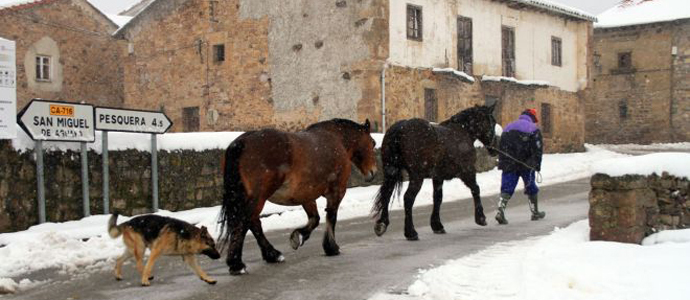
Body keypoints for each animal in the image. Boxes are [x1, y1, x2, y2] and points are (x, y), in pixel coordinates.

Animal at [219, 118, 376, 276]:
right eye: (373, 143)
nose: (373, 172)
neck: (336, 140)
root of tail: (242, 142)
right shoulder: (337, 191)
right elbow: (331, 217)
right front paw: (331, 247)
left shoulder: (307, 195)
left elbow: (315, 219)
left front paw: (299, 236)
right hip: (258, 197)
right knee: (245, 222)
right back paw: (237, 263)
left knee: (253, 222)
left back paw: (272, 255)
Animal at [370, 104, 494, 240]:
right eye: (492, 122)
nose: (494, 148)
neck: (462, 132)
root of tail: (400, 128)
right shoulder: (467, 172)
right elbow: (476, 189)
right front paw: (481, 218)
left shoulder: (438, 177)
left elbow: (438, 198)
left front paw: (437, 225)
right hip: (417, 176)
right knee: (408, 198)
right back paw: (410, 232)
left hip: (391, 172)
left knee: (387, 194)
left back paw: (382, 223)